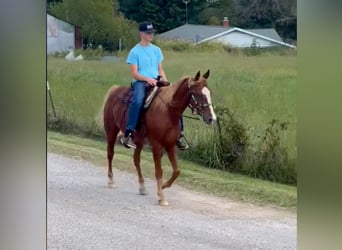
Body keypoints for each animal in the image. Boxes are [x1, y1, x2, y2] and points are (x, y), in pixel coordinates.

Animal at [99, 70, 216, 205]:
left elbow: (177, 171)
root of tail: (115, 90)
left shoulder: (170, 145)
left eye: (209, 92)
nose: (212, 118)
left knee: (136, 160)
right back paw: (111, 181)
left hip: (139, 141)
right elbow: (159, 171)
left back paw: (142, 187)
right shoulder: (156, 145)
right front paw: (162, 196)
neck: (167, 111)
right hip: (111, 132)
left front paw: (164, 186)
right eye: (197, 94)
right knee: (110, 154)